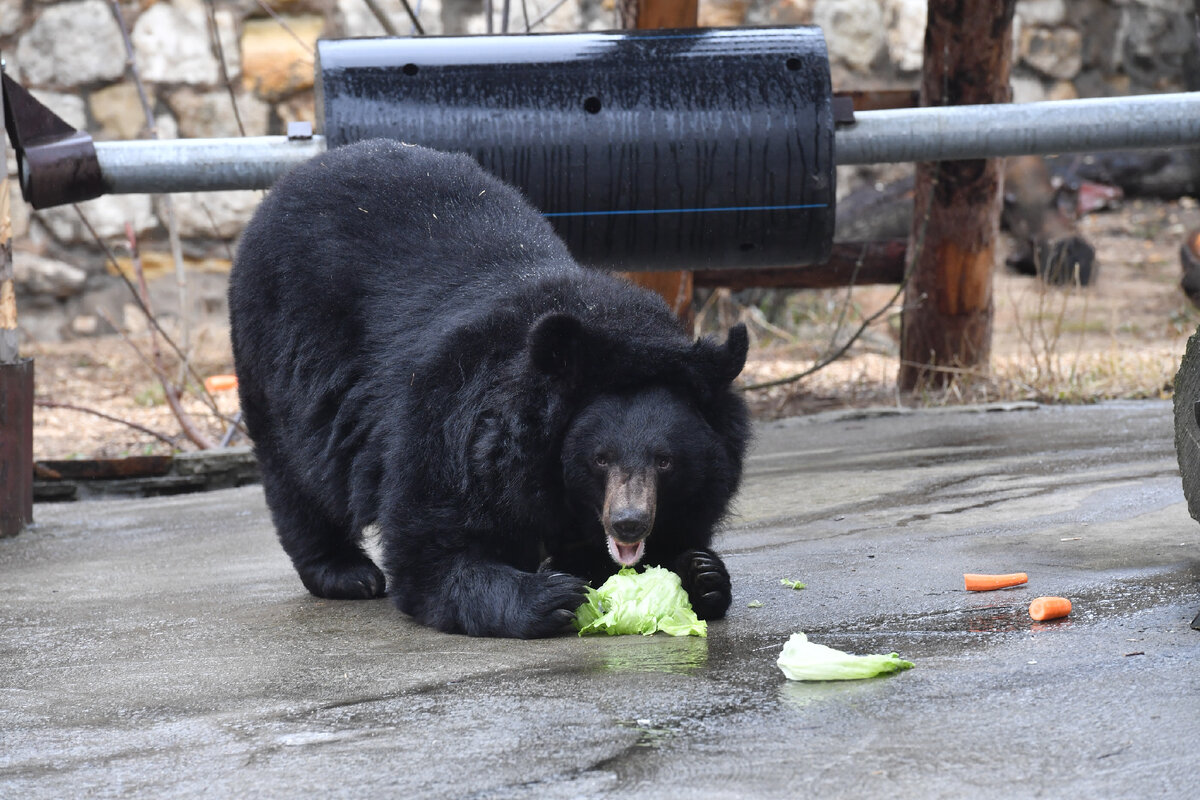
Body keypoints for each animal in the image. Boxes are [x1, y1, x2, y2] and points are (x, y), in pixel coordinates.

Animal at [228, 139, 744, 638]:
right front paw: (550, 595)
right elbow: (432, 550)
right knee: (296, 470)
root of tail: (291, 180)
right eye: (600, 458)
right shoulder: (452, 421)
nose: (629, 521)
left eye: (665, 461)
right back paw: (346, 573)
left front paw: (700, 575)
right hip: (279, 353)